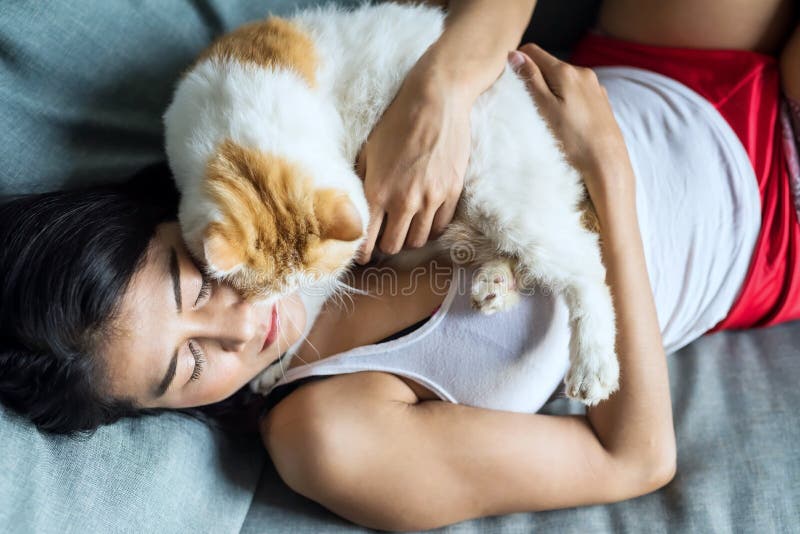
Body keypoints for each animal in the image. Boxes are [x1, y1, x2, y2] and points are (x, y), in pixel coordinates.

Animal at [162, 0, 620, 406]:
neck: (234, 129)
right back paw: (496, 284)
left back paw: (593, 365)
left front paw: (276, 364)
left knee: (586, 266)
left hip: (497, 197)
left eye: (299, 283)